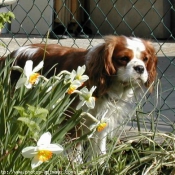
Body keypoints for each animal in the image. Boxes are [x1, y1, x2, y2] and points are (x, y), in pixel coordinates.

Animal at [1, 35, 157, 163]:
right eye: (124, 58)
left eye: (145, 59)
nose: (140, 68)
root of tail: (9, 56)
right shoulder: (73, 119)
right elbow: (76, 149)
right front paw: (76, 166)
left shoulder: (101, 119)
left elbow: (100, 148)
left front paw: (98, 166)